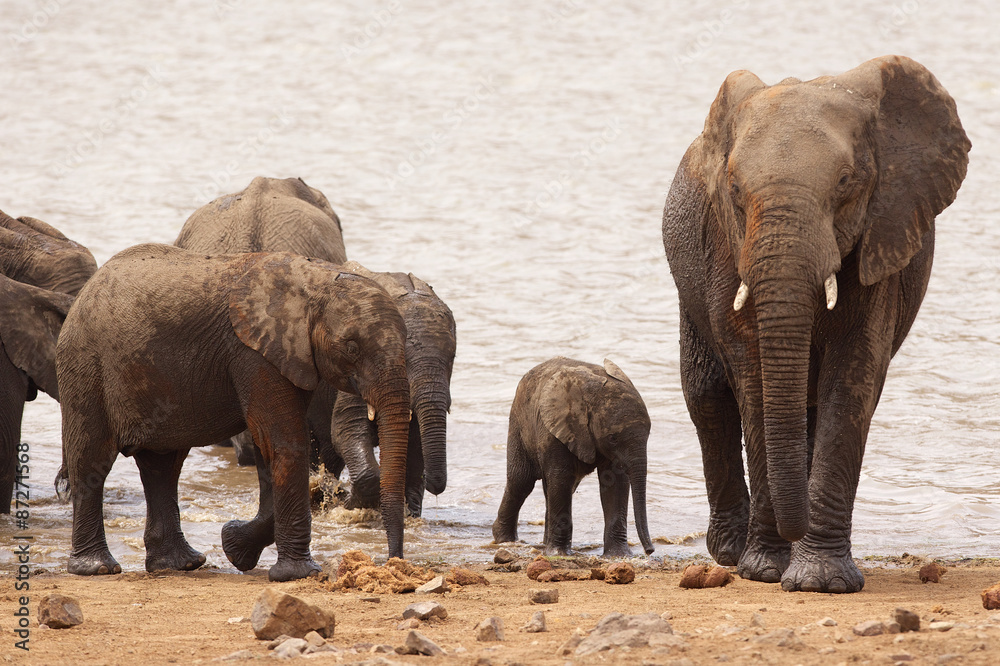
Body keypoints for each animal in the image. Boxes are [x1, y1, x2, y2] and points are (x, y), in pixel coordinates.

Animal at [56, 243, 411, 581]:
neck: (316, 279)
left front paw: (235, 547)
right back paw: (97, 568)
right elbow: (284, 443)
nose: (393, 562)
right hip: (84, 366)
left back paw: (181, 564)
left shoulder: (288, 356)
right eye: (351, 347)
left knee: (162, 467)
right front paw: (297, 574)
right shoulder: (253, 353)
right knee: (91, 461)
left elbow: (268, 446)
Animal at [492, 357, 654, 557]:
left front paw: (619, 556)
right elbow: (560, 477)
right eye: (613, 438)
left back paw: (542, 543)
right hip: (519, 423)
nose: (650, 551)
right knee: (521, 481)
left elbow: (615, 483)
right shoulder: (556, 428)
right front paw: (558, 554)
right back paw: (504, 540)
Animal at [661, 55, 970, 592]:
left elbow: (851, 381)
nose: (793, 529)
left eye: (846, 182)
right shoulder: (724, 247)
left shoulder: (882, 237)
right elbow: (754, 383)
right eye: (735, 189)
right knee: (707, 397)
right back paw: (730, 552)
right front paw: (765, 571)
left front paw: (817, 581)